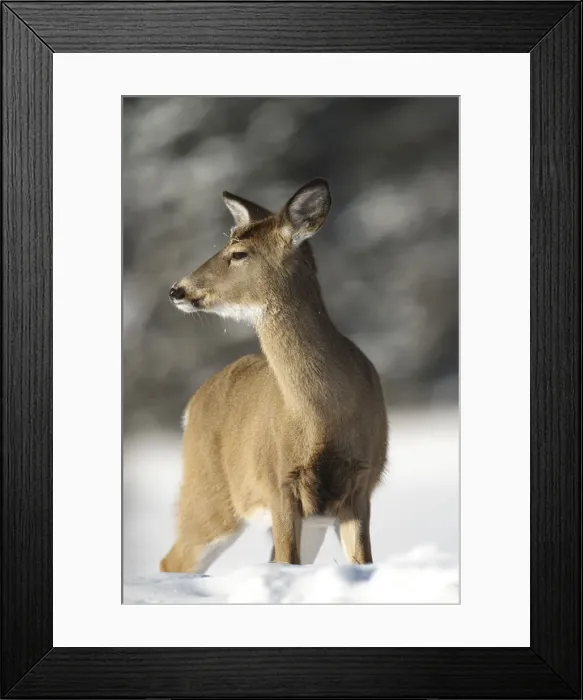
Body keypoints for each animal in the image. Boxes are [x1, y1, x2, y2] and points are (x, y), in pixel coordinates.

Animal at [161, 178, 388, 573]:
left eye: (239, 253)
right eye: (228, 243)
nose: (178, 290)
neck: (320, 417)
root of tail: (191, 406)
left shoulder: (361, 483)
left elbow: (362, 562)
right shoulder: (277, 482)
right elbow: (287, 562)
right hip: (210, 493)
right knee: (172, 560)